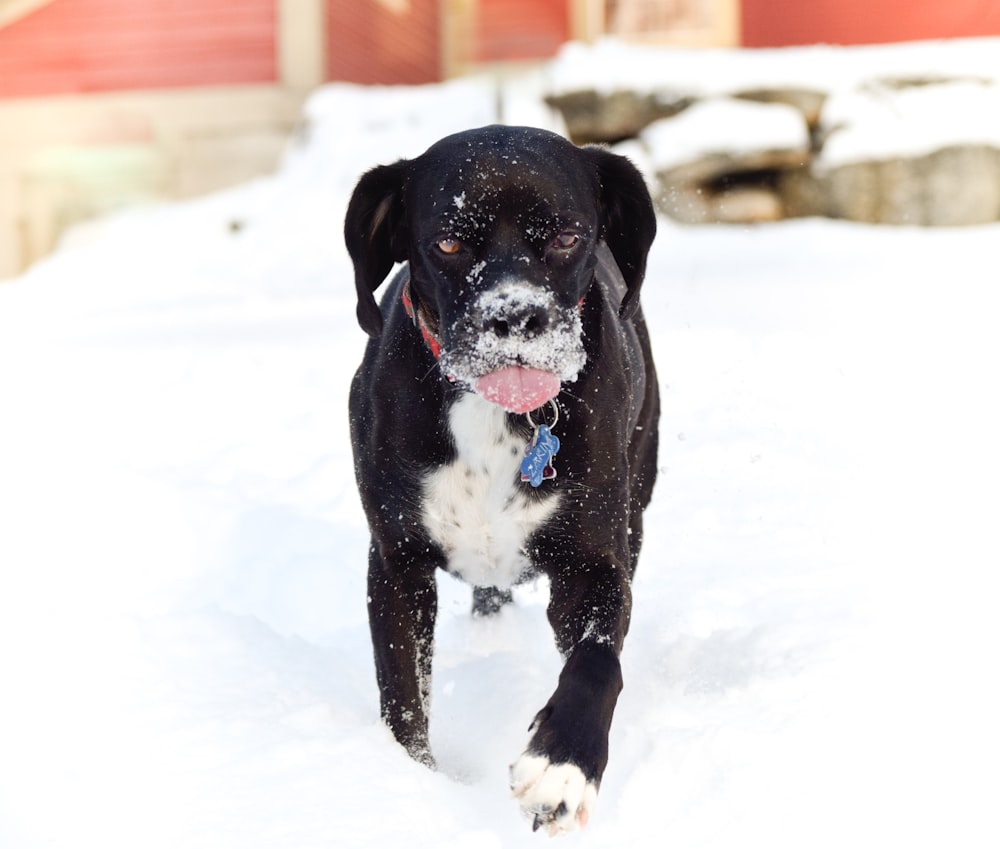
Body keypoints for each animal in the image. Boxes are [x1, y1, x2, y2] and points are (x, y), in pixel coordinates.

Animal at [346, 126, 664, 836]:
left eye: (568, 236)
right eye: (448, 242)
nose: (515, 318)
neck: (495, 417)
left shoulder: (594, 567)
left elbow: (598, 662)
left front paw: (562, 768)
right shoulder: (397, 565)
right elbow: (402, 698)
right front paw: (413, 788)